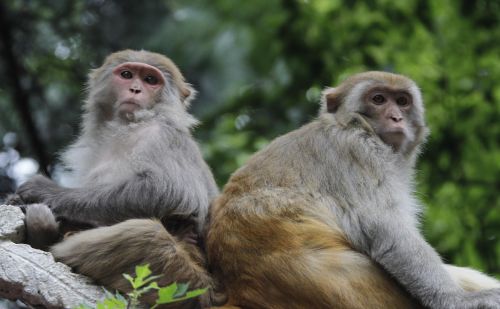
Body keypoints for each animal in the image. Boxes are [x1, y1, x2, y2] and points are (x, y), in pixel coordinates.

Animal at [9, 49, 220, 306]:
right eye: (127, 75)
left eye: (150, 80)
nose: (136, 89)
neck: (129, 125)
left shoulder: (163, 136)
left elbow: (172, 191)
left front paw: (43, 191)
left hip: (184, 286)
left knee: (145, 234)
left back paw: (48, 240)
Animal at [206, 71, 500, 306]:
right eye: (378, 99)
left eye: (402, 101)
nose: (396, 117)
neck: (354, 124)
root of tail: (239, 289)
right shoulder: (358, 151)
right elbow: (389, 230)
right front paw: (456, 299)